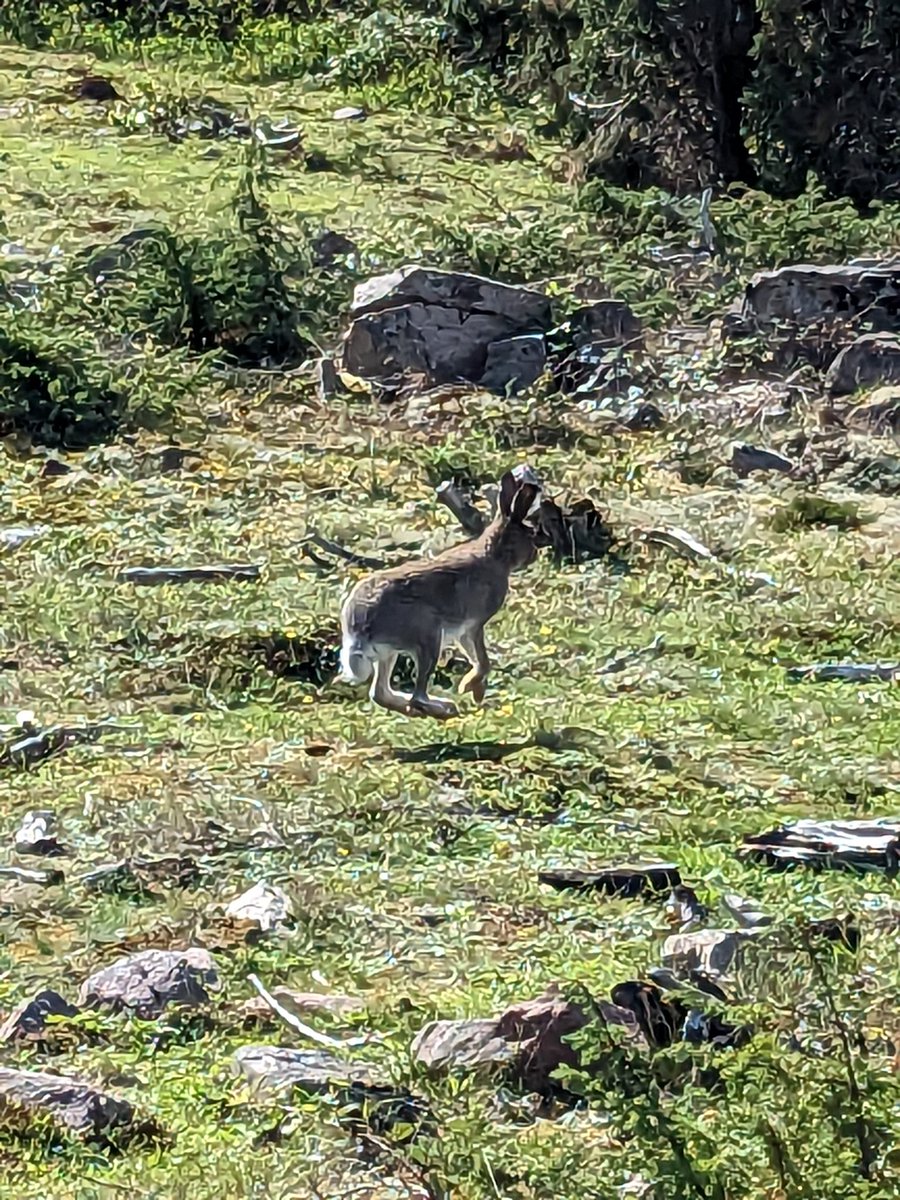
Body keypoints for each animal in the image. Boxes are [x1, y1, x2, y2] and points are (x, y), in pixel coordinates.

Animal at [339, 471, 543, 720]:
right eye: (530, 535)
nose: (535, 553)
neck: (496, 554)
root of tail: (359, 627)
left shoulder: (463, 632)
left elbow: (475, 658)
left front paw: (474, 689)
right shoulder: (473, 625)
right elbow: (483, 660)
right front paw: (471, 687)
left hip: (390, 653)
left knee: (380, 693)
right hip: (428, 637)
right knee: (417, 696)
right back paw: (444, 708)